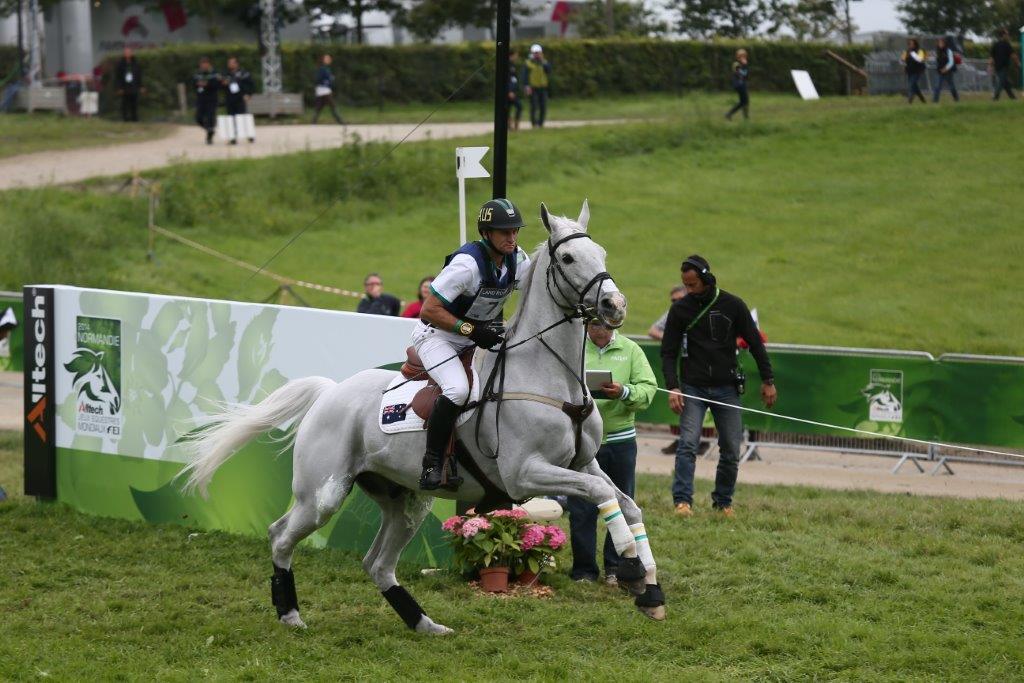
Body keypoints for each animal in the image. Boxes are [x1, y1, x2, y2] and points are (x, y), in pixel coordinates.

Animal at [181, 201, 667, 634]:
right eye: (568, 258)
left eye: (601, 252)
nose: (615, 305)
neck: (551, 376)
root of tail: (330, 392)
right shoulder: (525, 474)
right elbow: (602, 495)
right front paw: (629, 560)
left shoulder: (581, 463)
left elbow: (624, 500)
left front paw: (648, 586)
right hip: (323, 495)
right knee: (281, 536)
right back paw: (290, 614)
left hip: (406, 502)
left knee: (378, 564)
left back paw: (424, 624)